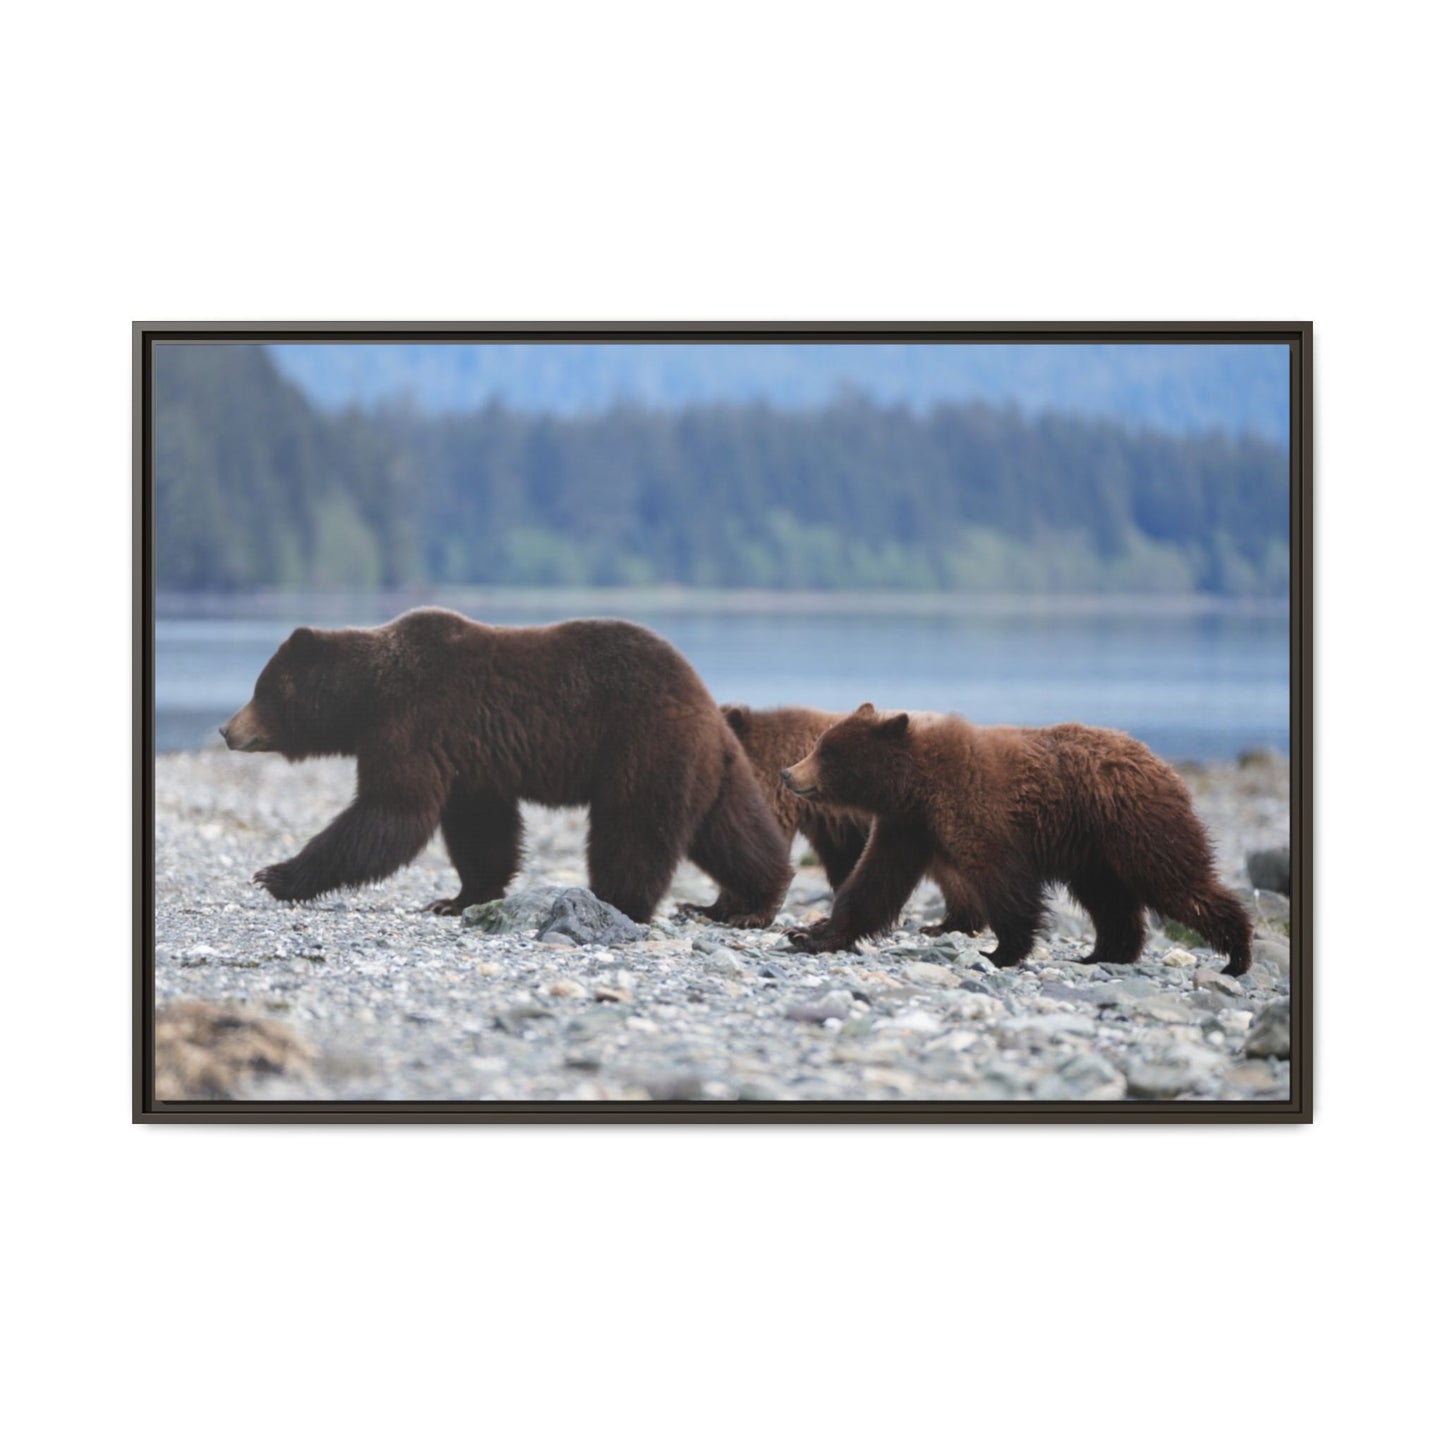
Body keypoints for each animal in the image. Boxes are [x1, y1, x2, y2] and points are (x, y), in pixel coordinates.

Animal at [220, 608, 792, 927]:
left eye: (261, 689)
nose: (227, 729)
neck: (369, 697)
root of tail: (706, 704)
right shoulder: (470, 759)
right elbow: (480, 829)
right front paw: (457, 898)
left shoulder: (415, 724)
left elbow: (391, 812)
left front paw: (276, 874)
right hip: (712, 768)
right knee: (734, 832)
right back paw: (747, 903)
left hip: (643, 747)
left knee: (633, 831)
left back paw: (616, 901)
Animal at [781, 703, 1252, 975]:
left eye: (827, 751)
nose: (788, 773)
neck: (917, 783)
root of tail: (1162, 763)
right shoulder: (907, 825)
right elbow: (873, 882)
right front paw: (809, 934)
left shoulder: (974, 808)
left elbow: (1001, 880)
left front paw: (999, 952)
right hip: (1094, 852)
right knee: (1110, 900)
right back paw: (1103, 953)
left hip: (1135, 824)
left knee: (1176, 882)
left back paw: (1237, 954)